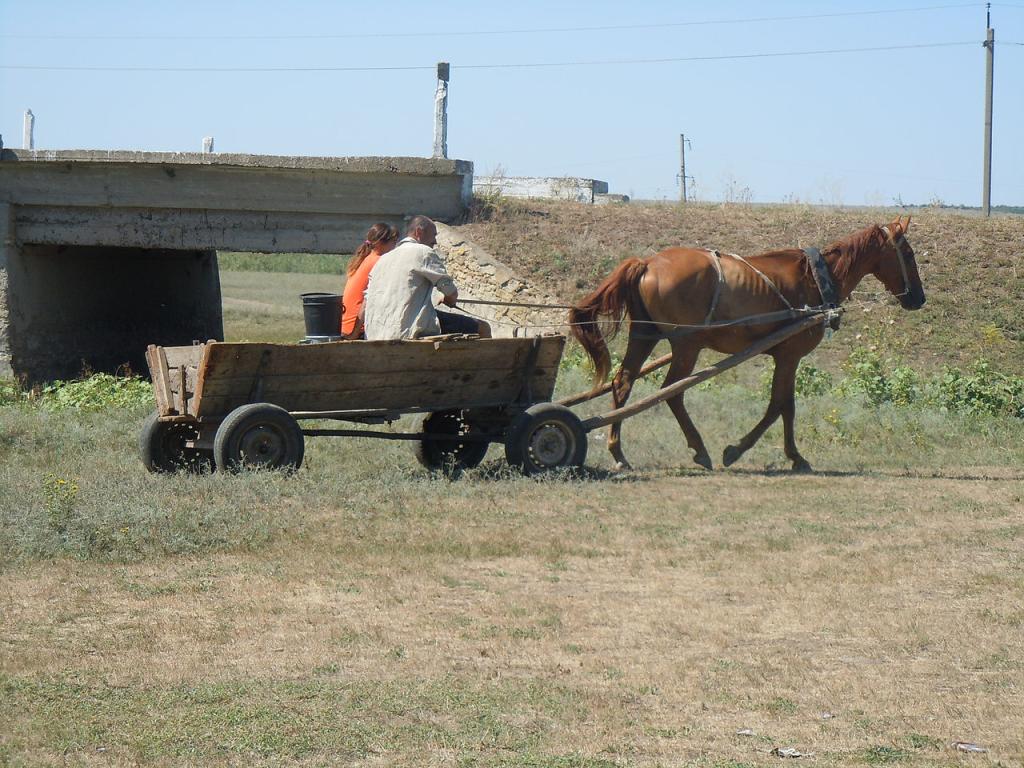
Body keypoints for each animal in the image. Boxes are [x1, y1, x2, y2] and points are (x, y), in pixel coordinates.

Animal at [568, 216, 925, 472]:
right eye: (908, 254)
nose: (919, 299)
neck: (816, 279)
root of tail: (647, 262)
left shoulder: (784, 356)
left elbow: (782, 405)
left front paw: (786, 454)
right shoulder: (789, 354)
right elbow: (781, 405)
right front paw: (757, 452)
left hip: (645, 336)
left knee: (623, 383)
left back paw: (618, 452)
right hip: (686, 344)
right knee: (673, 391)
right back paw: (699, 449)